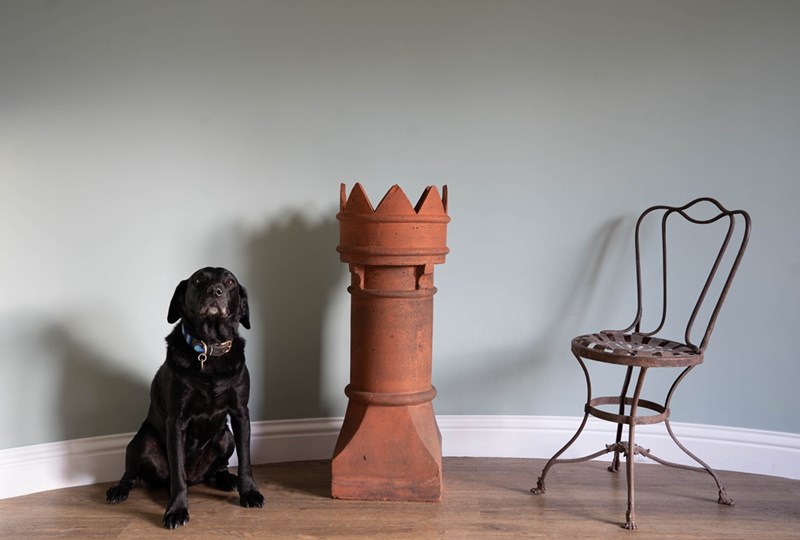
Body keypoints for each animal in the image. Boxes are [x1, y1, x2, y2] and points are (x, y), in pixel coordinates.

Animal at [106, 267, 264, 529]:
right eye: (199, 279)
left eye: (230, 282)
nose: (215, 291)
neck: (209, 349)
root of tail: (195, 477)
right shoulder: (176, 421)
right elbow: (177, 474)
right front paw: (177, 509)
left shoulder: (241, 413)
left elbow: (246, 461)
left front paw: (249, 492)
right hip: (142, 441)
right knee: (133, 473)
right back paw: (119, 490)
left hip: (226, 437)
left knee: (218, 468)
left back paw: (226, 479)